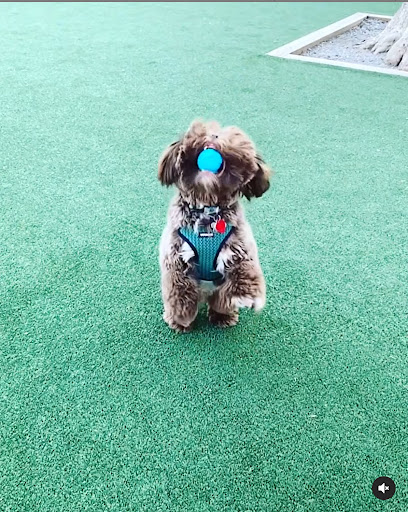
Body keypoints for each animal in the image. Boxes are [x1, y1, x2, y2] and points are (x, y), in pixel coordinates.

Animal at [158, 119, 271, 332]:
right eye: (202, 131)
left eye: (227, 136)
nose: (213, 137)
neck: (207, 210)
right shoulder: (174, 256)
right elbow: (179, 292)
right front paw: (181, 318)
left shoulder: (241, 247)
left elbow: (246, 270)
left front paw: (247, 296)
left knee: (222, 300)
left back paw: (223, 316)